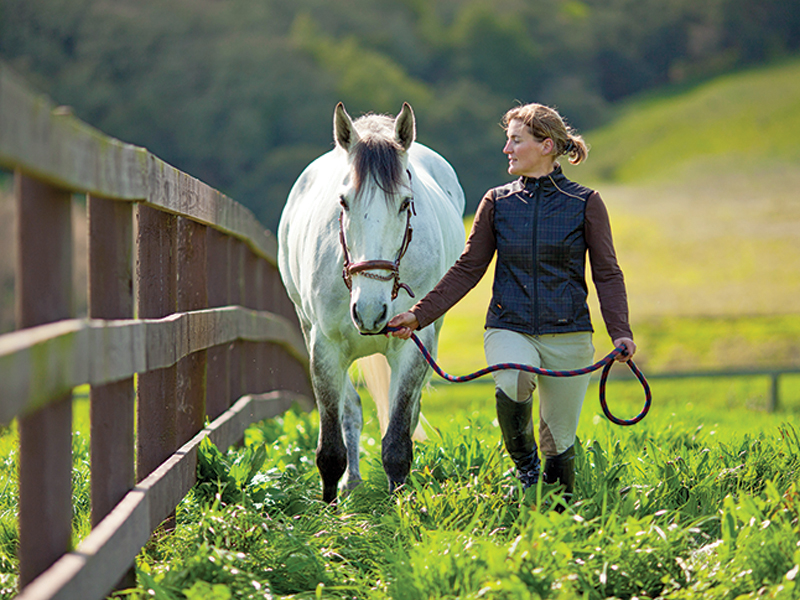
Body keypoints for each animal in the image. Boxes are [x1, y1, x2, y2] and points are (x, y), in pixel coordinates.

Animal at [277, 102, 465, 503]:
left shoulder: (413, 346)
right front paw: (331, 506)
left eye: (406, 203)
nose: (369, 311)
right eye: (343, 201)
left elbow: (397, 440)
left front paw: (400, 504)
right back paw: (352, 482)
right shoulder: (324, 348)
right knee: (351, 410)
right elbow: (331, 447)